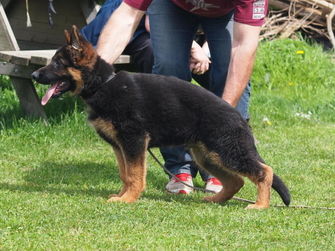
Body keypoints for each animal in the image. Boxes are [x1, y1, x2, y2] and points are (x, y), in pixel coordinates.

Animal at [32, 26, 292, 210]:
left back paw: (260, 205)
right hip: (207, 156)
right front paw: (122, 195)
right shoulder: (120, 146)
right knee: (236, 181)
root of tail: (239, 116)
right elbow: (125, 174)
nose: (34, 74)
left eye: (57, 63)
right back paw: (216, 200)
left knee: (264, 171)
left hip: (226, 151)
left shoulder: (134, 141)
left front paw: (129, 199)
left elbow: (135, 174)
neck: (103, 84)